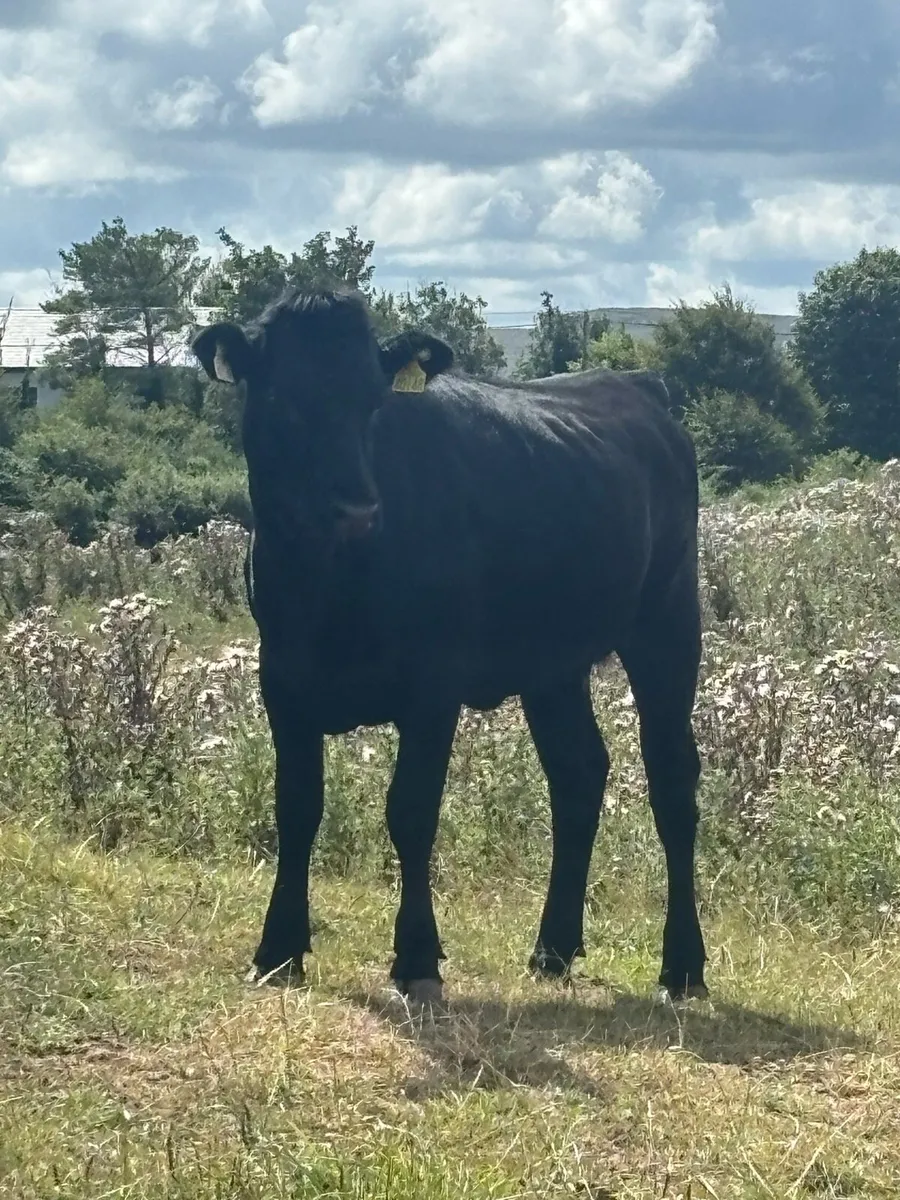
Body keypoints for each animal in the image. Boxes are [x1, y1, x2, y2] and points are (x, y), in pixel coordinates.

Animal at [191, 289, 707, 1005]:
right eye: (283, 400)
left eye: (373, 402)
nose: (357, 509)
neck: (330, 585)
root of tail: (636, 385)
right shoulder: (283, 680)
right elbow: (296, 809)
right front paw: (277, 949)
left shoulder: (432, 687)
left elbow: (410, 812)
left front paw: (416, 958)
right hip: (552, 663)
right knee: (578, 772)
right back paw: (553, 948)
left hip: (667, 624)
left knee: (671, 780)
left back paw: (682, 967)